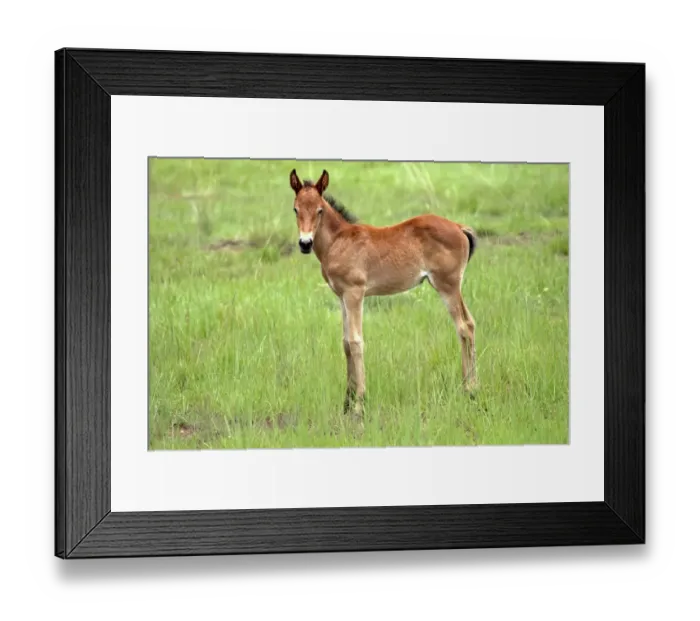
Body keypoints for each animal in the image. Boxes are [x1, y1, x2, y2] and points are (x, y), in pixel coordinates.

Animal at [289, 168, 477, 417]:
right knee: (470, 323)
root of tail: (458, 227)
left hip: (447, 285)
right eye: (296, 209)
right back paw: (471, 387)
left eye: (319, 210)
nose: (305, 243)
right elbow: (345, 343)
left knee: (463, 327)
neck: (339, 241)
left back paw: (470, 390)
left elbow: (356, 341)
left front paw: (359, 405)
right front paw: (346, 403)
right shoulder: (341, 296)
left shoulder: (355, 293)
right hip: (452, 286)